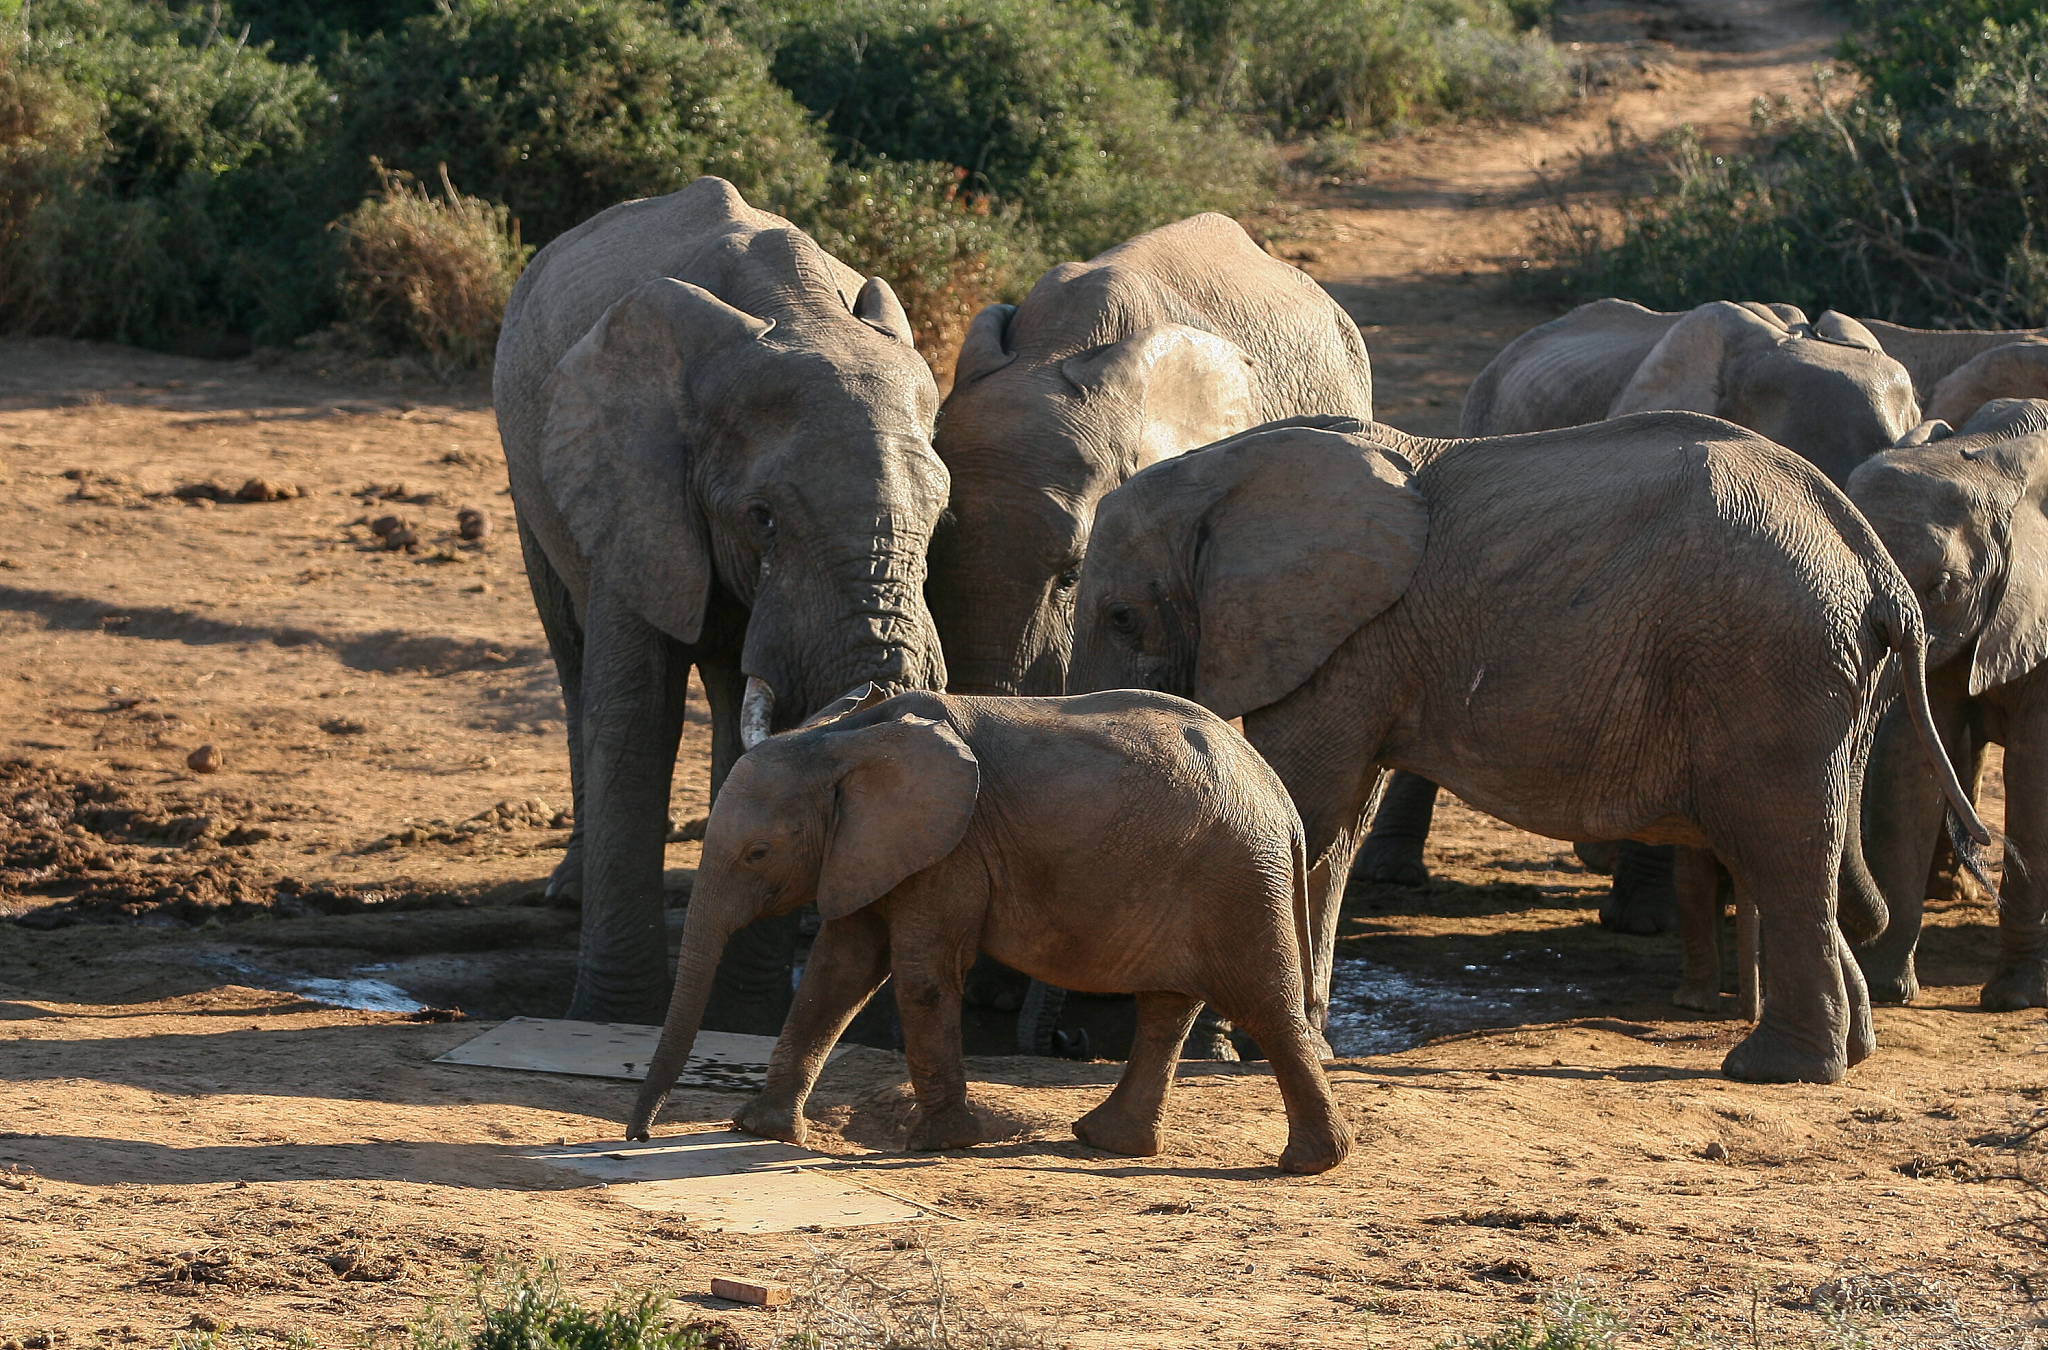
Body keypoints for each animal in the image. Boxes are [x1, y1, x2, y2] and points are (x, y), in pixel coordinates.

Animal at [493, 177, 949, 1026]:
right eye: (762, 518)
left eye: (943, 516)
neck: (797, 310)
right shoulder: (636, 488)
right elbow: (636, 719)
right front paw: (609, 1020)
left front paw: (743, 1023)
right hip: (526, 467)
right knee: (573, 662)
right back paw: (567, 893)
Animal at [625, 686, 1353, 1176]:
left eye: (758, 854)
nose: (637, 1138)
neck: (846, 738)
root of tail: (1281, 799)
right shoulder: (868, 846)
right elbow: (839, 970)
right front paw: (761, 1130)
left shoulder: (951, 848)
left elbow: (919, 973)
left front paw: (940, 1143)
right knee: (1167, 1009)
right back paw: (1105, 1141)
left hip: (1237, 877)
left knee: (1264, 1006)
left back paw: (1310, 1163)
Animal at [1070, 415, 1986, 1083]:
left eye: (1121, 616)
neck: (1223, 471)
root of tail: (1879, 571)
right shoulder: (1363, 643)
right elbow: (1334, 823)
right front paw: (1293, 1044)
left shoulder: (1347, 637)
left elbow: (1310, 804)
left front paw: (1238, 1047)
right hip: (1825, 684)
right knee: (1799, 851)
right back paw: (1848, 1051)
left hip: (1771, 662)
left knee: (1782, 849)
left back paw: (1775, 1070)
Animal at [1846, 398, 2048, 1012]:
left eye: (1940, 586)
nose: (1983, 837)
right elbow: (1909, 765)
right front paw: (1886, 989)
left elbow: (2034, 772)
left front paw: (2015, 997)